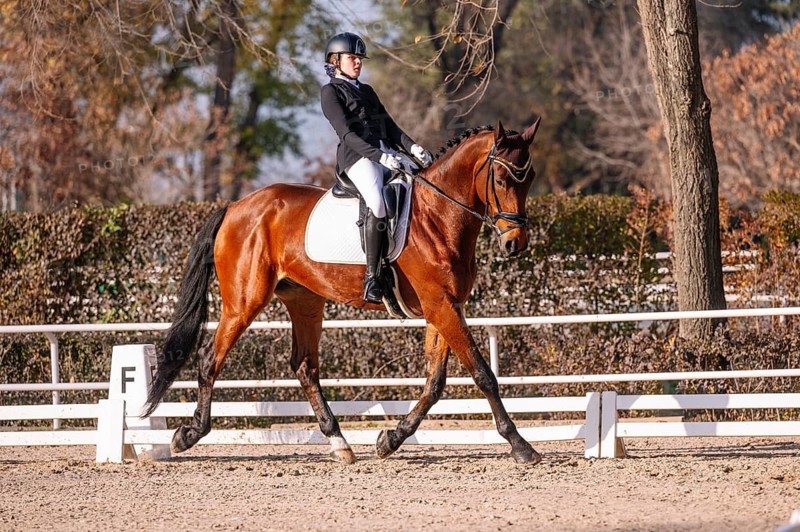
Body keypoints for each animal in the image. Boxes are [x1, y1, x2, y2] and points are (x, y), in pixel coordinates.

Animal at [143, 118, 543, 464]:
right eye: (502, 179)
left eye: (530, 179)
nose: (516, 244)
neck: (438, 216)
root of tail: (234, 207)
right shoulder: (441, 306)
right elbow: (482, 374)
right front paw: (520, 445)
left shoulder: (447, 306)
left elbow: (435, 382)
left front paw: (390, 439)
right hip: (244, 302)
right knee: (211, 357)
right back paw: (188, 434)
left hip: (304, 300)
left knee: (304, 365)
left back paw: (339, 443)